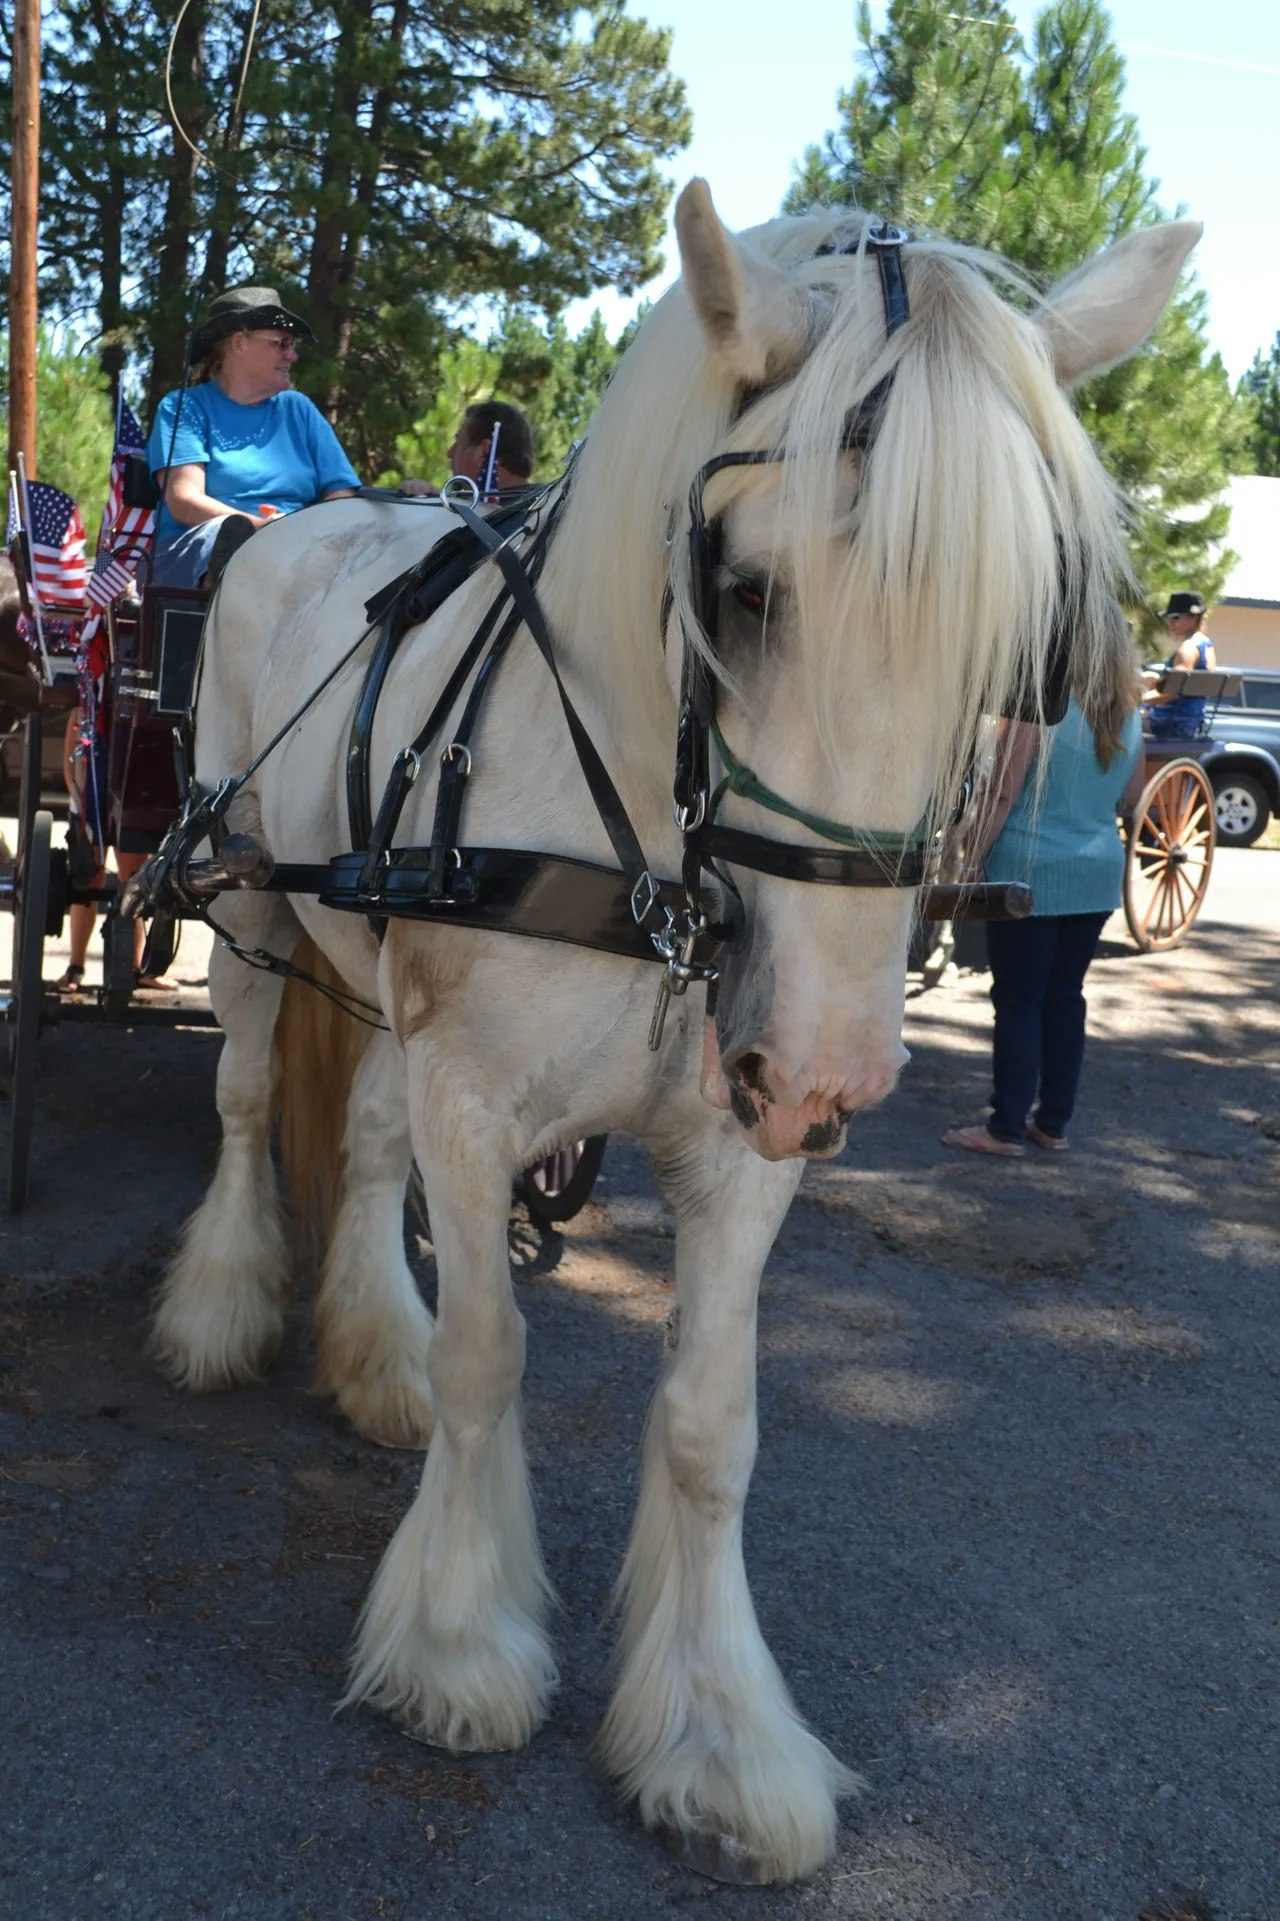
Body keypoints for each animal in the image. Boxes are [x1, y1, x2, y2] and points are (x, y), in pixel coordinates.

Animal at [149, 182, 1198, 1883]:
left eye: (1026, 645)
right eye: (741, 589)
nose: (835, 1064)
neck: (649, 853)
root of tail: (301, 521)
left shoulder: (738, 1142)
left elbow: (713, 1423)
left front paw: (717, 1735)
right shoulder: (475, 1097)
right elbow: (492, 1355)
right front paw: (457, 1642)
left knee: (359, 1145)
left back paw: (373, 1352)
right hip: (242, 892)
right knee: (248, 1099)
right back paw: (222, 1307)